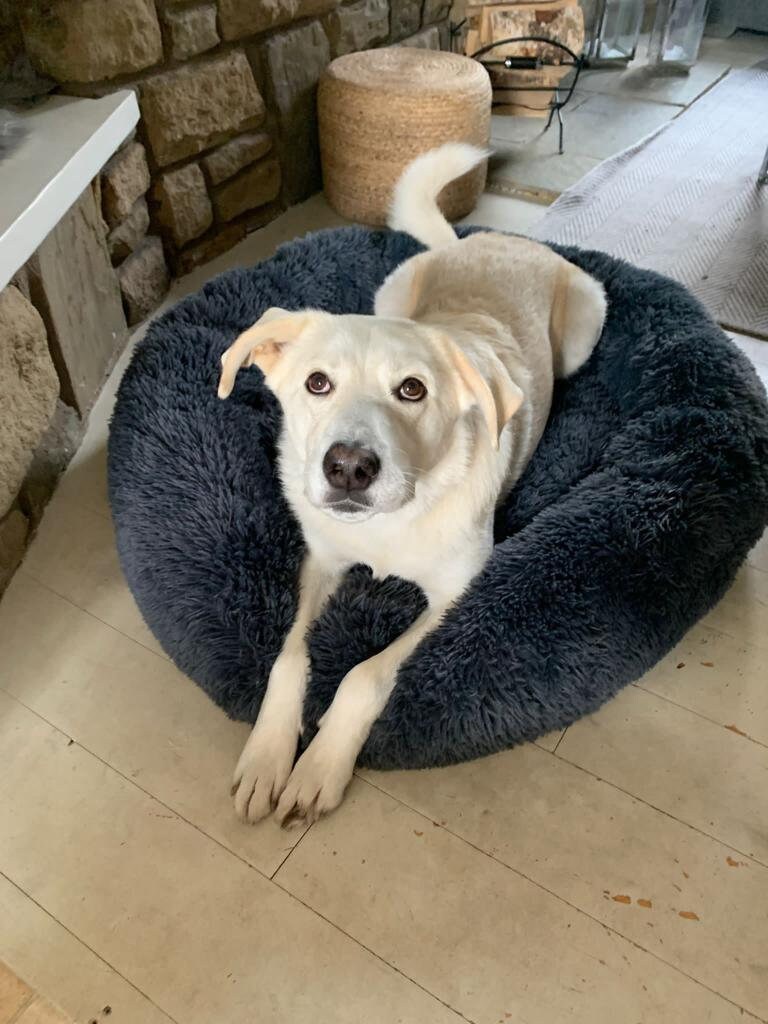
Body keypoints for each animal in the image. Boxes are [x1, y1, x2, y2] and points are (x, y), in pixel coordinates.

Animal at [217, 144, 606, 827]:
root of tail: (496, 239)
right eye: (317, 383)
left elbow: (364, 676)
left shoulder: (456, 589)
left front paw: (318, 767)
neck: (389, 524)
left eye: (412, 390)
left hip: (588, 314)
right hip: (393, 289)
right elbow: (290, 657)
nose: (348, 467)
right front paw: (267, 756)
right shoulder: (321, 559)